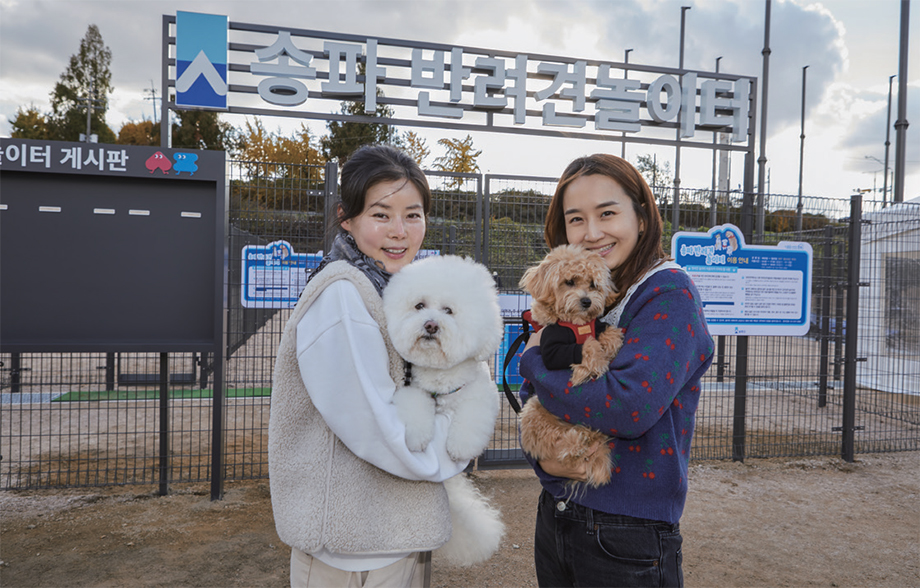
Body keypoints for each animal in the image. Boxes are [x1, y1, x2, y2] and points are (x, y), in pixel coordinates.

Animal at [384, 255, 506, 568]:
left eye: (449, 310)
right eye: (419, 305)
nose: (430, 325)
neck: (441, 377)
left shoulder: (481, 394)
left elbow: (472, 419)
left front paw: (461, 447)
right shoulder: (414, 389)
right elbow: (415, 408)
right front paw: (415, 437)